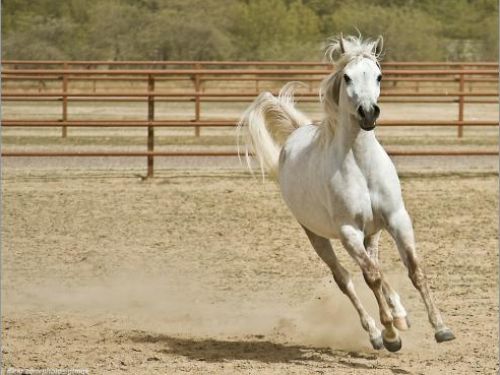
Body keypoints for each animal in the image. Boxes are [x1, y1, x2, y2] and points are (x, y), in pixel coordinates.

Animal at [236, 34, 456, 352]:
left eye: (379, 75)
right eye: (347, 77)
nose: (368, 112)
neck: (362, 166)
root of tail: (295, 133)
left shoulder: (397, 219)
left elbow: (414, 270)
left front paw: (441, 328)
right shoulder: (348, 231)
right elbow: (371, 278)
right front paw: (390, 336)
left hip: (373, 232)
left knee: (375, 265)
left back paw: (400, 314)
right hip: (317, 235)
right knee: (345, 279)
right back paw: (375, 332)